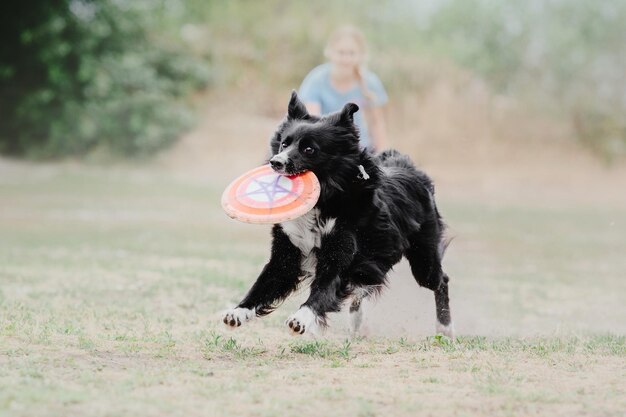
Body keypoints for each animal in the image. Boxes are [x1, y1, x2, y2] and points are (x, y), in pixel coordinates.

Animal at [222, 92, 450, 336]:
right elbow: (262, 285)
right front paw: (237, 312)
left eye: (309, 149)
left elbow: (324, 289)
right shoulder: (286, 252)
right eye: (284, 143)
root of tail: (410, 168)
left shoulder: (340, 254)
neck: (323, 201)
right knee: (362, 289)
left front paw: (301, 319)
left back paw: (446, 328)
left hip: (423, 260)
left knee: (440, 281)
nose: (276, 162)